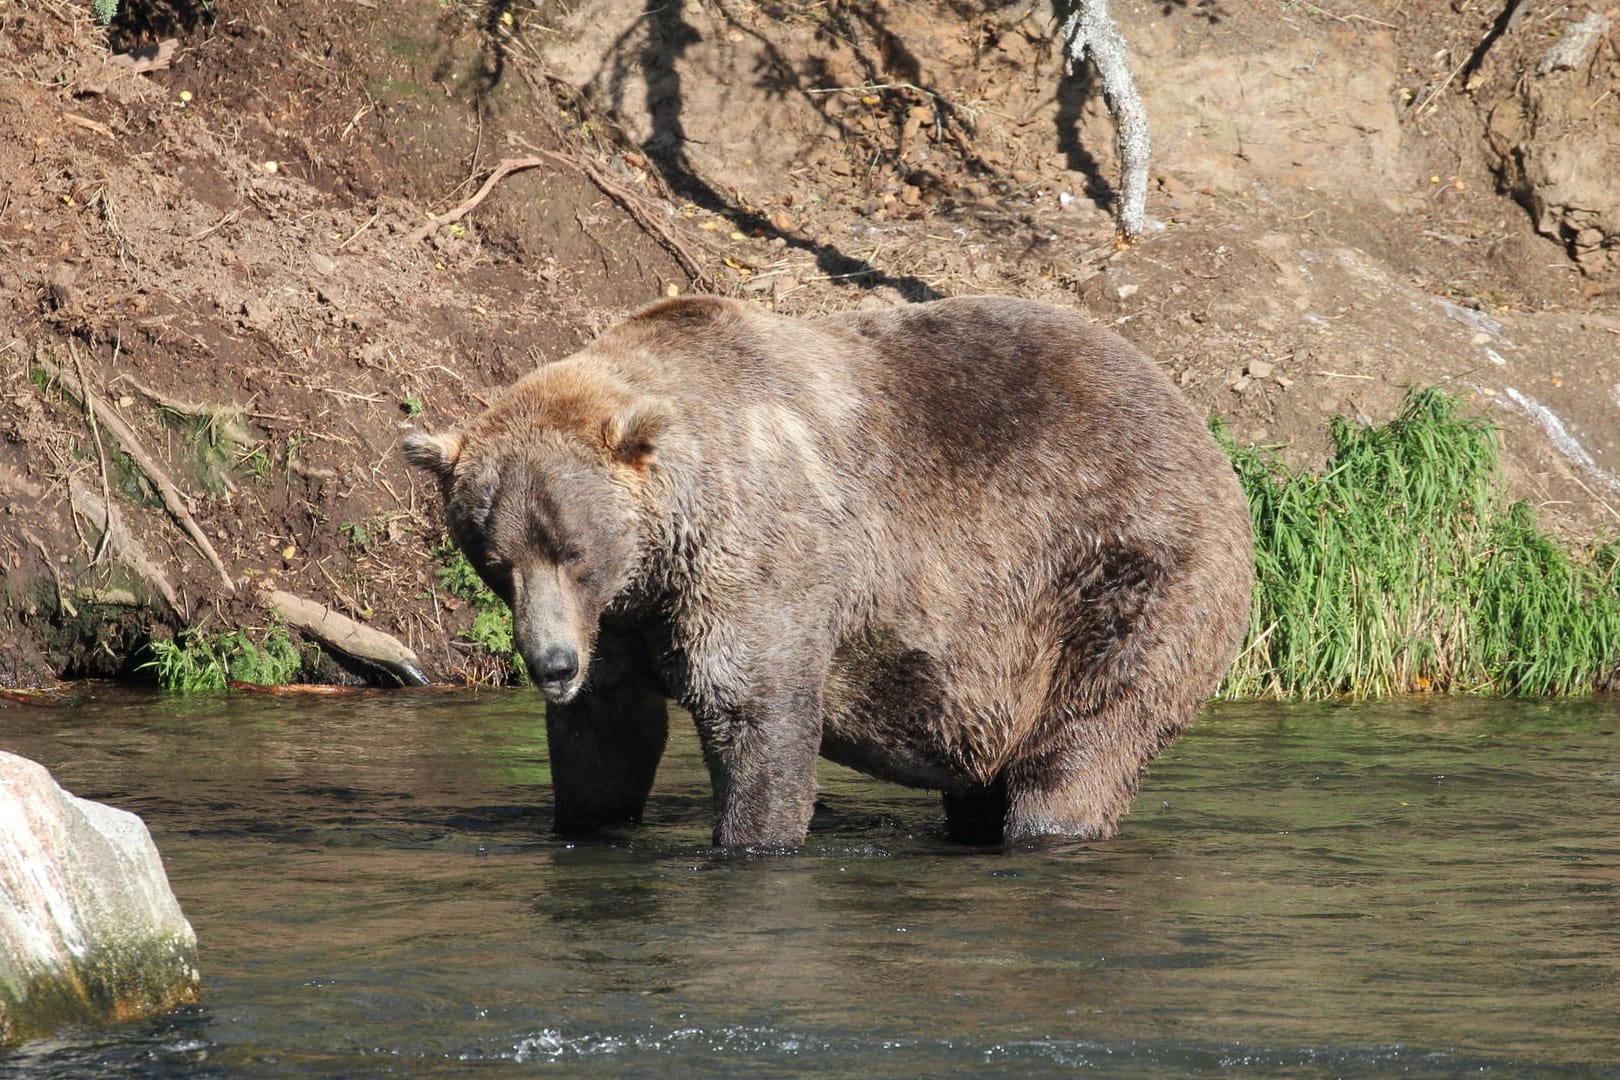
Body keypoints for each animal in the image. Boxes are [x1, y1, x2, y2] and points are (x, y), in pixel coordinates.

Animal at [405, 297, 1250, 854]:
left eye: (574, 551)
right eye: (495, 560)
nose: (551, 664)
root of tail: (1196, 422)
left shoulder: (757, 560)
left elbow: (756, 713)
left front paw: (751, 839)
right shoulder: (621, 623)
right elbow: (606, 738)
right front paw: (589, 820)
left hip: (1123, 572)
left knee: (1086, 736)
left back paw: (1049, 826)